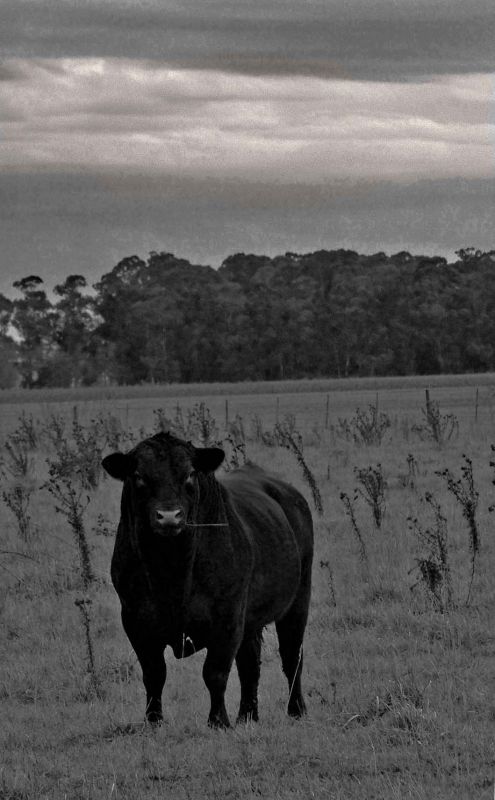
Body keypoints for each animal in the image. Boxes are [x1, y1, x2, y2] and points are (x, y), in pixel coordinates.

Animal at [102, 434, 314, 728]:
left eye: (190, 473)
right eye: (138, 475)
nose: (169, 516)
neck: (171, 572)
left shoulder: (227, 620)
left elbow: (215, 673)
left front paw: (218, 721)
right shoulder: (136, 621)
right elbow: (154, 673)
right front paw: (153, 720)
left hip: (297, 603)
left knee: (292, 657)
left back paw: (296, 709)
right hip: (251, 621)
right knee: (250, 665)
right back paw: (247, 716)